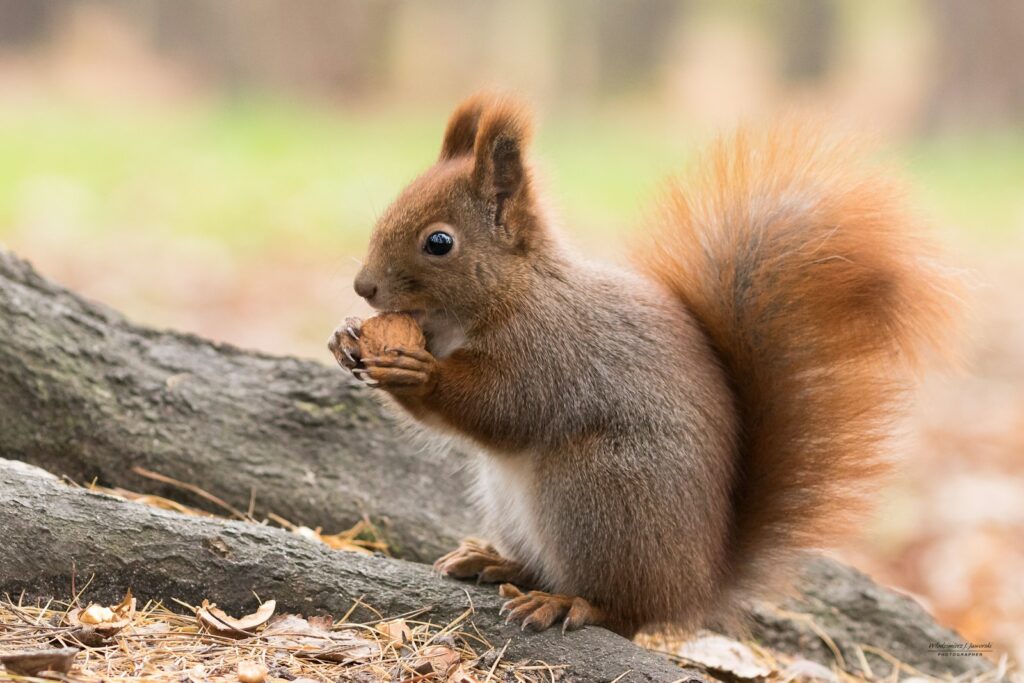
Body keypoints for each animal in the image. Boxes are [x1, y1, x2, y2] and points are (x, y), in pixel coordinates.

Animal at [328, 93, 960, 638]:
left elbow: (504, 408)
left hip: (599, 494)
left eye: (440, 242)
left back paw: (566, 603)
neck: (510, 293)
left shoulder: (550, 352)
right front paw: (343, 339)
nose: (363, 287)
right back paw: (499, 563)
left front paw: (418, 372)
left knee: (623, 610)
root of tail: (694, 589)